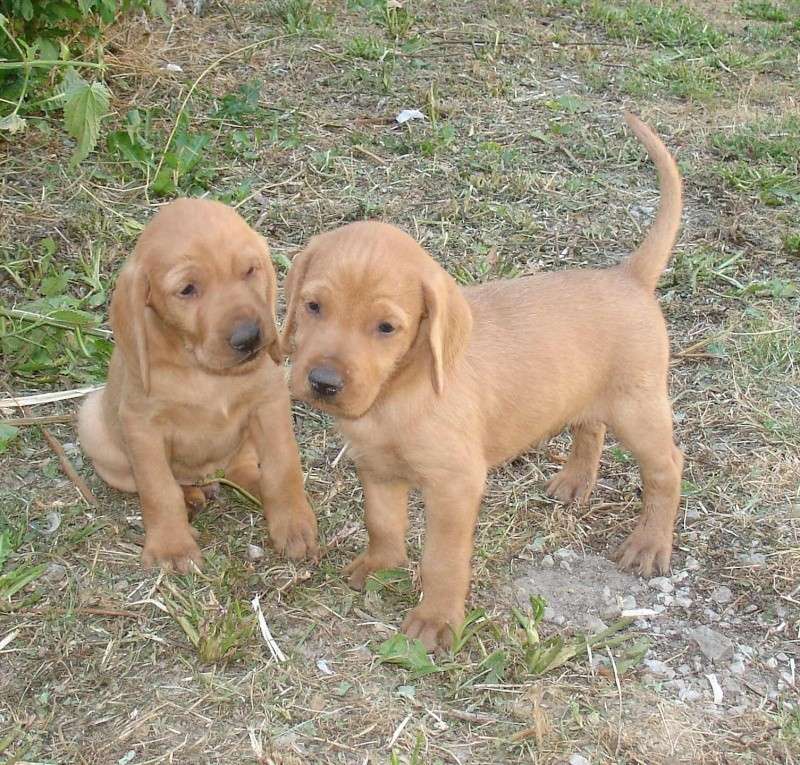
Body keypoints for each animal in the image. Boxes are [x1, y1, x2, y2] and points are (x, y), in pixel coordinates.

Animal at [77, 200, 316, 572]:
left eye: (250, 270)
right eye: (187, 289)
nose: (250, 338)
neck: (206, 373)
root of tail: (209, 477)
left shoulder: (269, 402)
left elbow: (282, 466)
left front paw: (293, 523)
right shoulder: (141, 426)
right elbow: (158, 490)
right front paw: (172, 546)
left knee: (243, 467)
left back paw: (253, 486)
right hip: (92, 422)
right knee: (159, 482)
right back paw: (191, 496)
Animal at [282, 115, 680, 652]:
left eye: (386, 328)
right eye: (312, 306)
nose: (322, 382)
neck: (397, 394)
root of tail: (629, 277)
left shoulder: (455, 485)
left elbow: (442, 559)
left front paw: (435, 620)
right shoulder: (378, 470)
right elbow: (381, 523)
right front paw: (380, 565)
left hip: (639, 408)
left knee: (666, 468)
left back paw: (650, 543)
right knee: (589, 427)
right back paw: (576, 481)